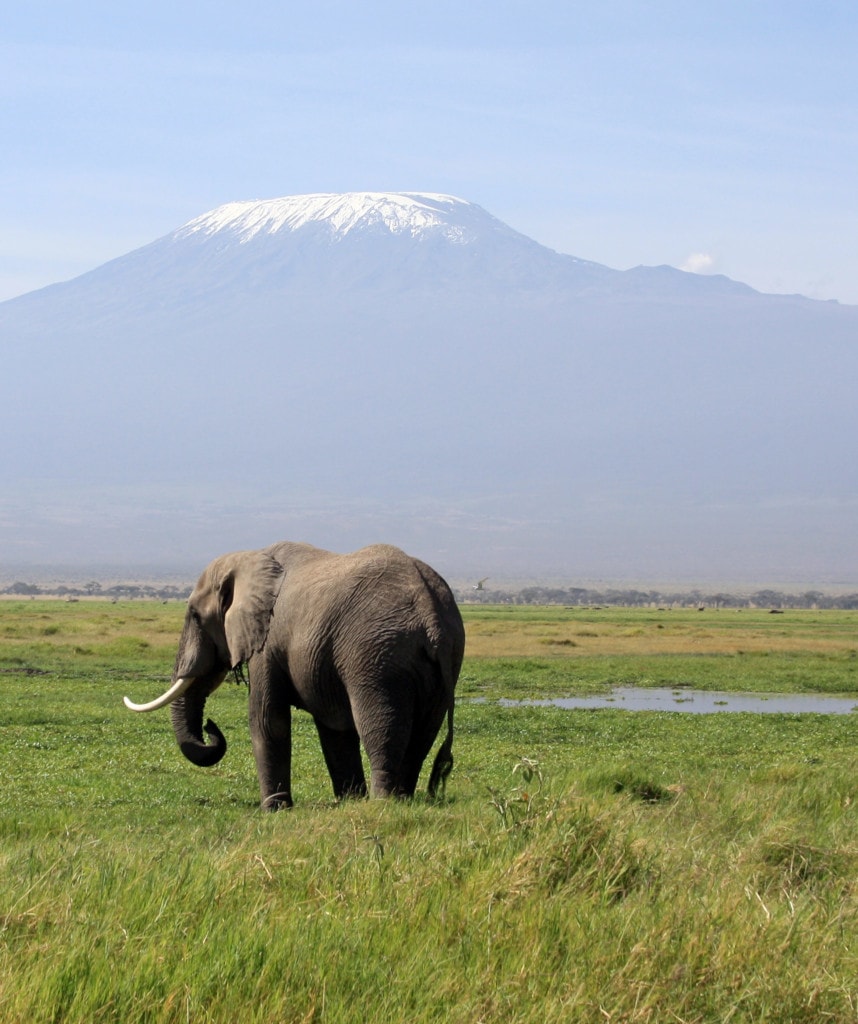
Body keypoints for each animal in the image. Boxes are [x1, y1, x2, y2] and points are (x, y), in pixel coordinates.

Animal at [124, 542, 465, 810]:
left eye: (195, 615)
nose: (210, 727)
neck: (250, 559)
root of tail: (431, 612)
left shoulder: (268, 640)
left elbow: (267, 719)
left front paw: (274, 810)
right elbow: (335, 729)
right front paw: (348, 801)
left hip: (377, 657)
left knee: (379, 726)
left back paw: (383, 804)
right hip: (441, 662)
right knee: (422, 735)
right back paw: (402, 800)